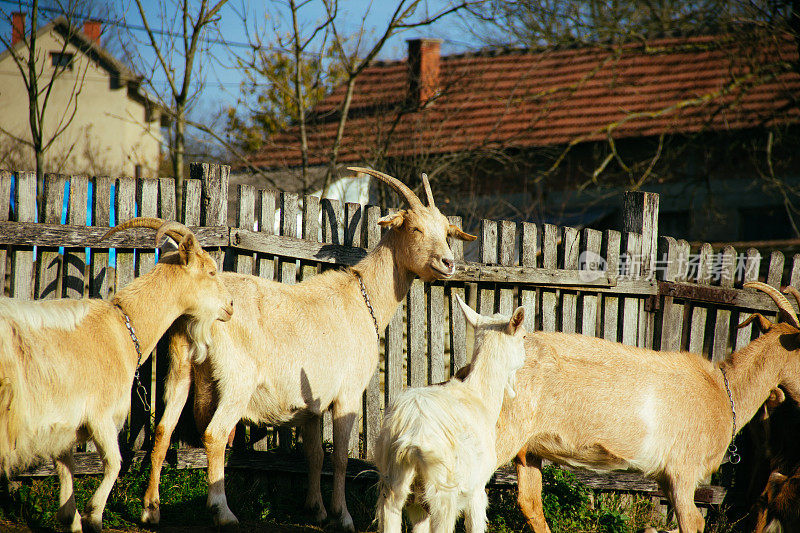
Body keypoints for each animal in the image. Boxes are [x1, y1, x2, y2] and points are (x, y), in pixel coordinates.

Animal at [0, 217, 233, 532]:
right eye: (210, 271)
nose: (231, 306)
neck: (124, 327)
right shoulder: (100, 413)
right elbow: (114, 462)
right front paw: (94, 514)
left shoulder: (66, 422)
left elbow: (66, 467)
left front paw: (72, 518)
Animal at [141, 166, 478, 528]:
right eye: (415, 228)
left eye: (446, 232)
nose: (448, 263)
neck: (363, 298)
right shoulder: (347, 393)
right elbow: (340, 457)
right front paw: (342, 515)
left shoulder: (313, 403)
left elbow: (315, 455)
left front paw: (315, 508)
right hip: (236, 381)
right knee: (215, 434)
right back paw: (223, 512)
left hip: (180, 368)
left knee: (162, 429)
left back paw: (151, 509)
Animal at [378, 298, 528, 532]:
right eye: (524, 337)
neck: (480, 397)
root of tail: (412, 436)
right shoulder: (477, 487)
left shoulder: (418, 505)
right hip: (443, 490)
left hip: (394, 484)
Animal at [456, 280, 800, 528]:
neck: (722, 390)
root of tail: (469, 371)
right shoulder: (683, 470)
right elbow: (694, 522)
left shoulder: (668, 478)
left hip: (527, 448)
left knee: (529, 502)